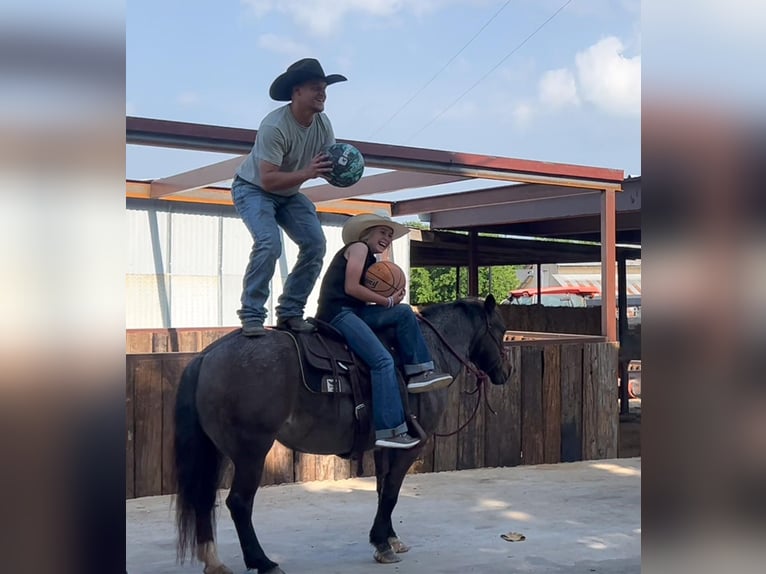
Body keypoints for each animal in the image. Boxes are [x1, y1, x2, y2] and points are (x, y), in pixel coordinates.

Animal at [173, 296, 510, 574]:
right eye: (502, 331)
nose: (505, 373)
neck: (427, 357)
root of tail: (207, 356)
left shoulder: (386, 443)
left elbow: (383, 490)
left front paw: (389, 538)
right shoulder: (412, 445)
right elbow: (392, 492)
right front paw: (382, 544)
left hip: (217, 451)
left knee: (204, 499)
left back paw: (214, 562)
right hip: (252, 451)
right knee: (239, 503)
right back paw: (263, 562)